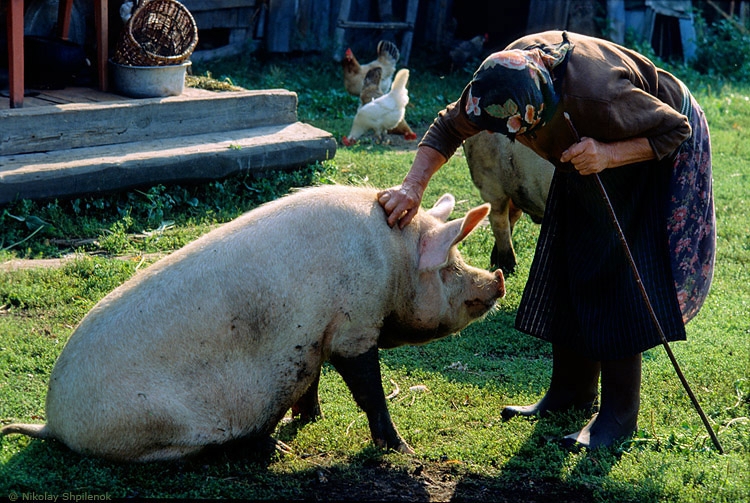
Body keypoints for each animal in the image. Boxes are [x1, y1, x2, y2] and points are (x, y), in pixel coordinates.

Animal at [1, 183, 506, 462]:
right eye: (451, 266)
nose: (497, 281)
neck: (394, 260)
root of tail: (53, 424)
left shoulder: (313, 334)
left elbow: (311, 379)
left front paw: (312, 417)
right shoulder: (354, 324)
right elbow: (369, 390)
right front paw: (403, 450)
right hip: (153, 427)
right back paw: (274, 450)